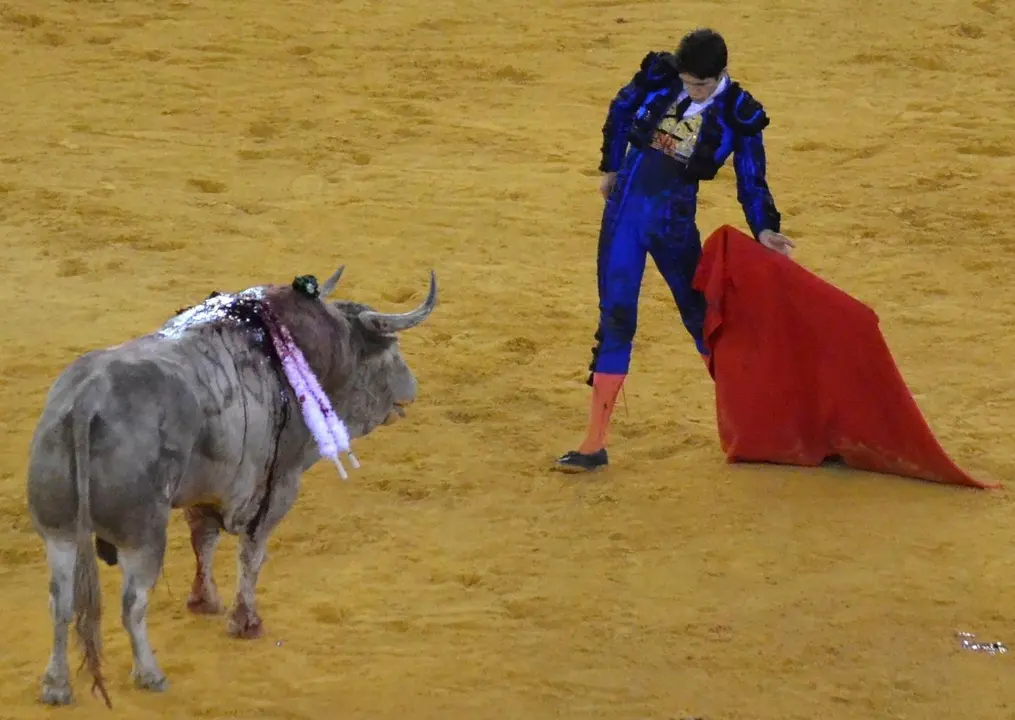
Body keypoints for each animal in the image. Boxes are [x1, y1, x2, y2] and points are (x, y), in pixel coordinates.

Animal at [25, 265, 437, 708]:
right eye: (391, 352)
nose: (412, 387)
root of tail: (88, 399)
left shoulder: (204, 491)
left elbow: (203, 541)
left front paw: (204, 601)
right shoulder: (279, 486)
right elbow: (251, 555)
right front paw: (245, 621)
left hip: (60, 532)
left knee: (60, 600)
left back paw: (56, 685)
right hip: (143, 536)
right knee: (132, 602)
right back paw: (149, 673)